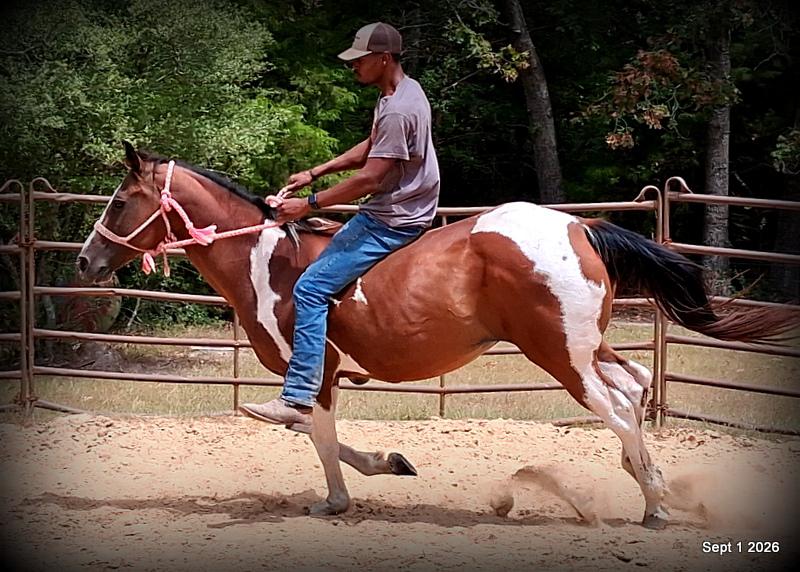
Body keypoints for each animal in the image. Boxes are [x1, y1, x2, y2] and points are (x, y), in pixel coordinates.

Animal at [77, 143, 795, 528]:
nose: (84, 262)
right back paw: (652, 484)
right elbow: (314, 431)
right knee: (637, 384)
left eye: (120, 202)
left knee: (617, 407)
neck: (268, 262)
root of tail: (577, 227)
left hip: (560, 354)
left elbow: (316, 433)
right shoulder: (324, 376)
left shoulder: (316, 369)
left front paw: (337, 500)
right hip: (589, 344)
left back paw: (654, 503)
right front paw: (390, 462)